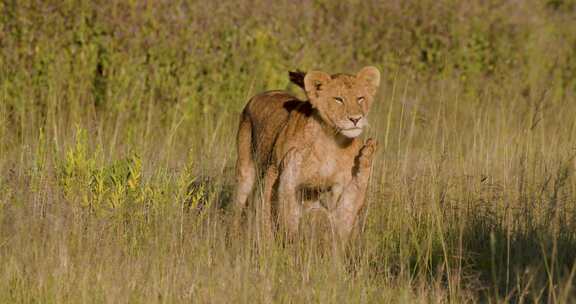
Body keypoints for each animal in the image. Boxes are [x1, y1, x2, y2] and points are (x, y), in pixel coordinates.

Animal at [232, 66, 380, 242]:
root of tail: (259, 95)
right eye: (338, 99)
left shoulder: (340, 187)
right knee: (241, 203)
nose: (356, 119)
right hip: (245, 170)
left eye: (360, 98)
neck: (332, 141)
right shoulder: (275, 172)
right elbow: (271, 210)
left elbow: (345, 211)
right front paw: (272, 239)